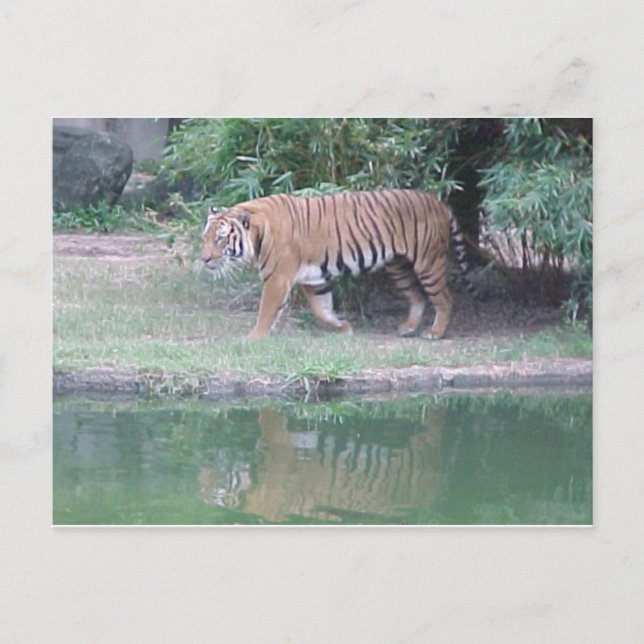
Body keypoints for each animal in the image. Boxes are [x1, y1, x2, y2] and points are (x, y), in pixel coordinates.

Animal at [200, 189, 476, 340]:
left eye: (220, 238)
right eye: (205, 238)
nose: (204, 259)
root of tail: (438, 202)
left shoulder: (277, 279)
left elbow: (266, 312)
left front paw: (253, 338)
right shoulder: (314, 280)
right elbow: (322, 311)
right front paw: (344, 327)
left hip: (428, 262)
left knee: (444, 298)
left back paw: (435, 332)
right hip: (398, 266)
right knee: (417, 296)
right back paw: (408, 328)